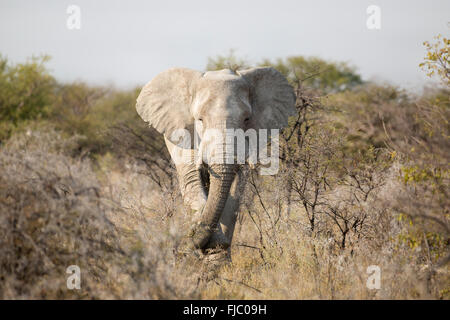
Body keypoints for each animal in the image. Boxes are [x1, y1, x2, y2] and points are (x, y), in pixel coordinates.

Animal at [134, 66, 296, 258]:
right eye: (200, 120)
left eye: (246, 119)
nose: (181, 246)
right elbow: (192, 179)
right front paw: (213, 245)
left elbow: (234, 192)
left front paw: (218, 254)